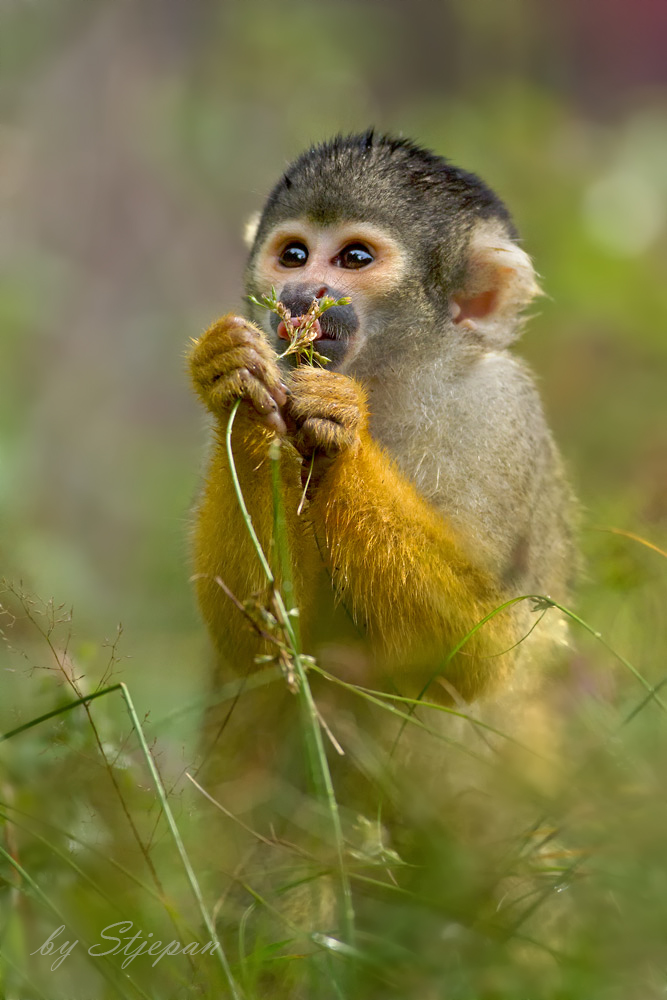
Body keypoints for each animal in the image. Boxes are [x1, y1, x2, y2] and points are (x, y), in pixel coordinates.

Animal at [189, 135, 580, 728]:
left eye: (355, 258)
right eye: (294, 255)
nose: (303, 292)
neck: (392, 384)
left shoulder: (499, 413)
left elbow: (476, 653)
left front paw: (343, 427)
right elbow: (266, 646)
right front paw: (233, 370)